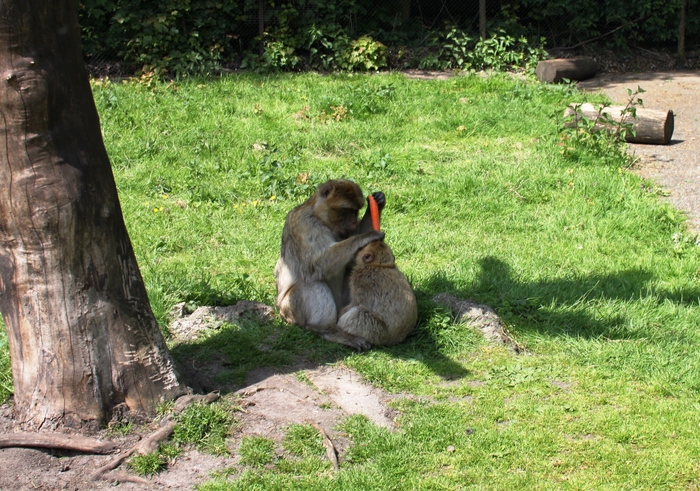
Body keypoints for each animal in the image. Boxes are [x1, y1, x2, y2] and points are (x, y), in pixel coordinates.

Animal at [274, 181, 386, 350]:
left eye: (356, 211)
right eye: (347, 210)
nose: (354, 221)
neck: (320, 217)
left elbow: (355, 259)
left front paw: (377, 204)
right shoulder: (305, 224)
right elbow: (318, 264)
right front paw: (365, 236)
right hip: (290, 310)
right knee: (311, 282)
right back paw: (329, 330)